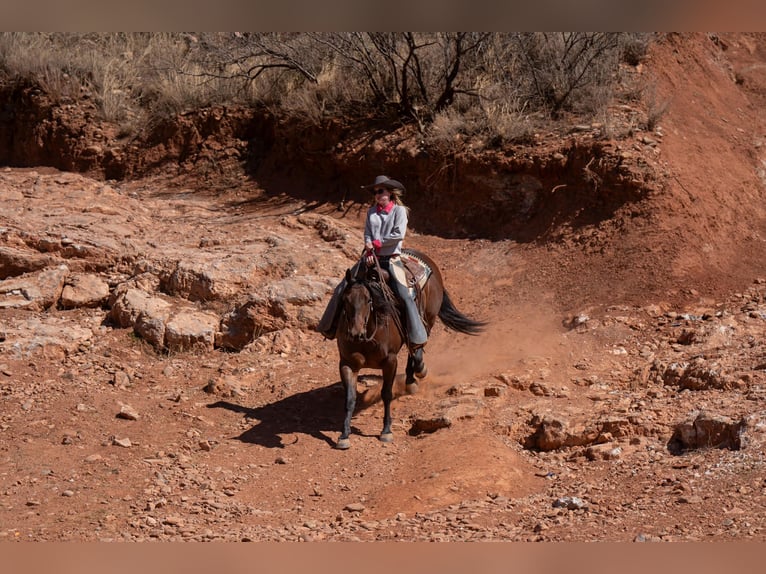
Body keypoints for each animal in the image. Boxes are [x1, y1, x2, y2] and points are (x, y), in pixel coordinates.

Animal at [335, 248, 486, 449]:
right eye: (345, 299)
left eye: (368, 300)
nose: (355, 333)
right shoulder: (347, 363)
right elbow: (349, 399)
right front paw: (344, 435)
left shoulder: (390, 361)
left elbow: (387, 394)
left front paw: (386, 431)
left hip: (427, 319)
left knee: (417, 347)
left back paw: (417, 373)